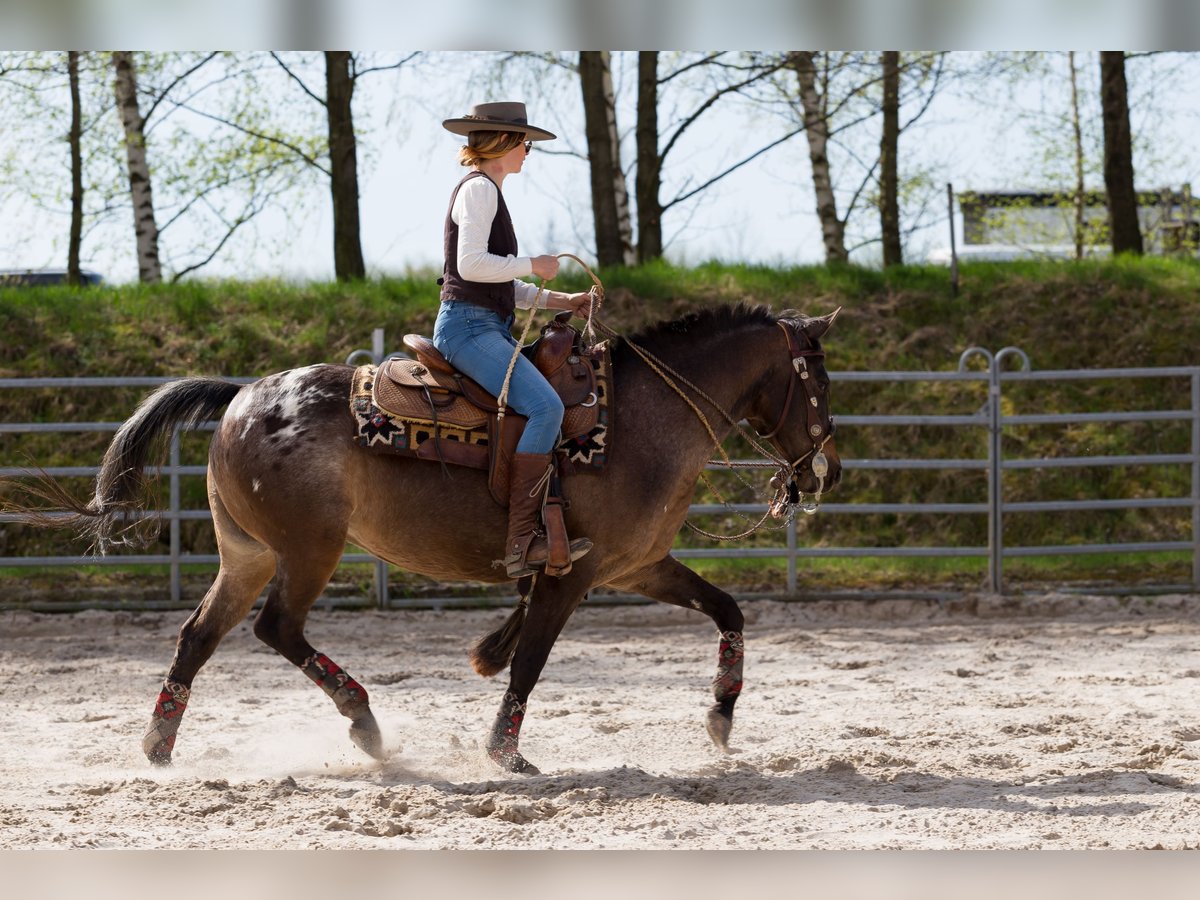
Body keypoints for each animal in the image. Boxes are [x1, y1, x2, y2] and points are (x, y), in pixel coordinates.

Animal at [4, 304, 840, 777]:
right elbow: (531, 660)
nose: (823, 468)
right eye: (820, 382)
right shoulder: (574, 575)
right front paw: (506, 751)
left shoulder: (637, 566)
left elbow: (728, 609)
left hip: (248, 554)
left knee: (197, 636)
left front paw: (722, 718)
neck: (640, 420)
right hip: (309, 550)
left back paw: (159, 747)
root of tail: (244, 393)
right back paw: (366, 724)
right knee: (277, 628)